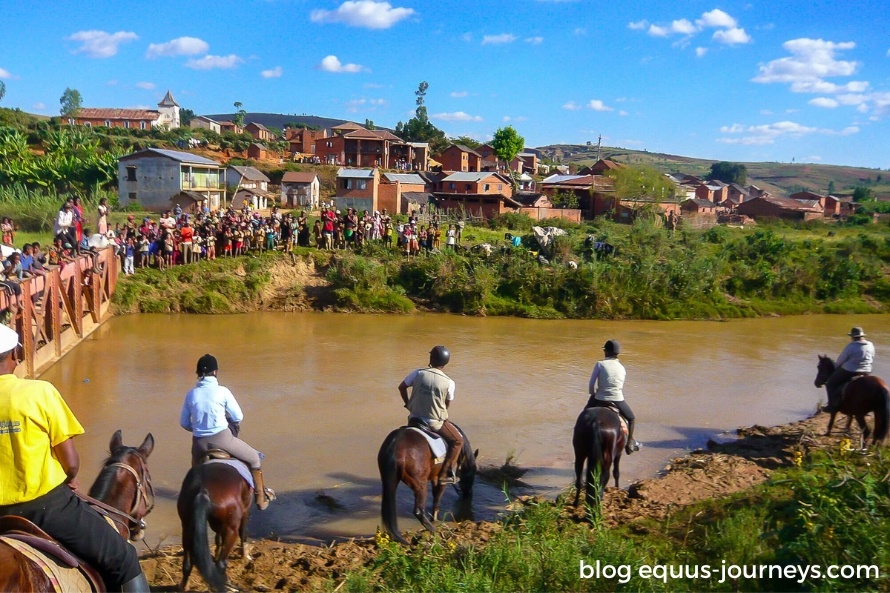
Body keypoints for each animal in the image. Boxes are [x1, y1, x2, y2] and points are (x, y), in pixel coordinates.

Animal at [177, 458, 251, 588]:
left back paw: (184, 585)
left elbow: (218, 538)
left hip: (187, 526)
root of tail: (203, 490)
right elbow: (243, 533)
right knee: (221, 563)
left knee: (187, 563)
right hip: (231, 530)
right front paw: (245, 555)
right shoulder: (245, 511)